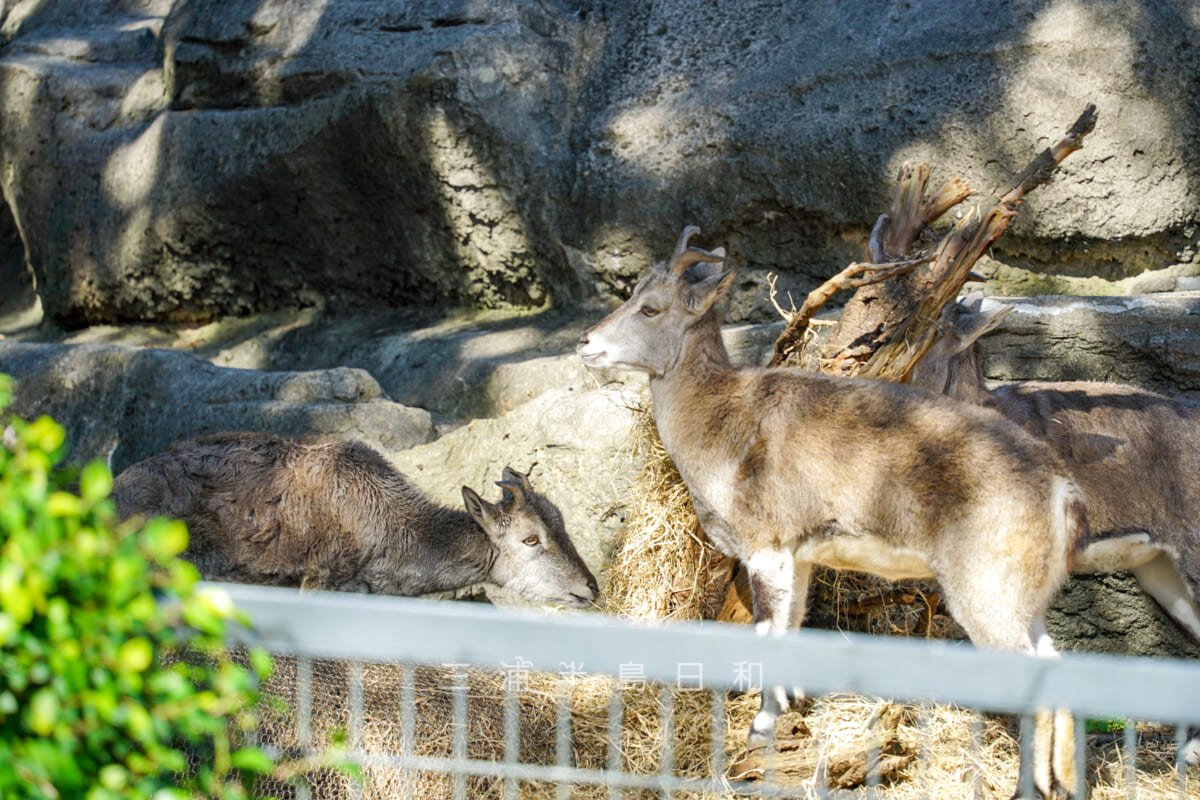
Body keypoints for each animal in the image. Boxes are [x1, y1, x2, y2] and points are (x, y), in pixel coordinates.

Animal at [578, 226, 1089, 800]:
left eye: (650, 308)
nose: (585, 343)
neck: (722, 424)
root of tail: (1060, 490)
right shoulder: (799, 559)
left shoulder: (767, 550)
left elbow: (768, 633)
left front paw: (759, 736)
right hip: (1026, 601)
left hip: (987, 594)